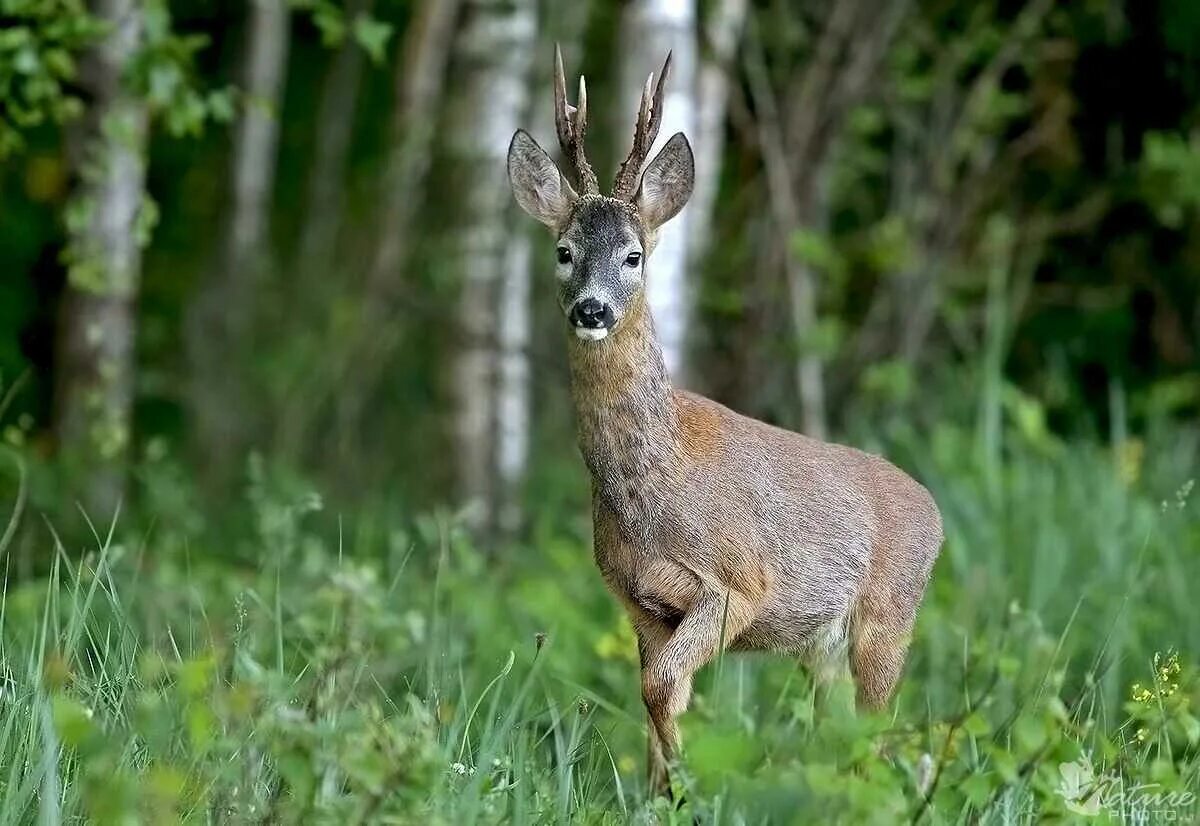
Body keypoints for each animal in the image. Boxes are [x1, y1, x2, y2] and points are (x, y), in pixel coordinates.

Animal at [501, 48, 940, 797]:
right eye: (563, 251)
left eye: (634, 255)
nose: (591, 309)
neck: (654, 480)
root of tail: (936, 511)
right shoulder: (640, 602)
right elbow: (656, 696)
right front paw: (659, 790)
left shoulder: (739, 585)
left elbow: (661, 687)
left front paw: (686, 786)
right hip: (821, 642)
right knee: (839, 727)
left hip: (888, 615)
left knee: (879, 730)